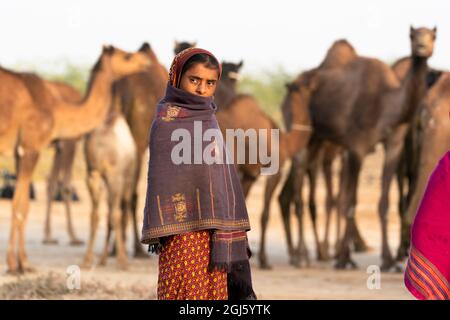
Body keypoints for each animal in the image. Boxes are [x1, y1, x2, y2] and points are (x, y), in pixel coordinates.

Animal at [284, 26, 436, 270]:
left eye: (433, 36)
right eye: (413, 36)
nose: (422, 47)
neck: (387, 103)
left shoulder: (393, 145)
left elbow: (383, 203)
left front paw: (388, 260)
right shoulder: (357, 147)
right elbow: (350, 202)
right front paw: (343, 259)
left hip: (318, 140)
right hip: (299, 127)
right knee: (299, 184)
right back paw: (301, 257)